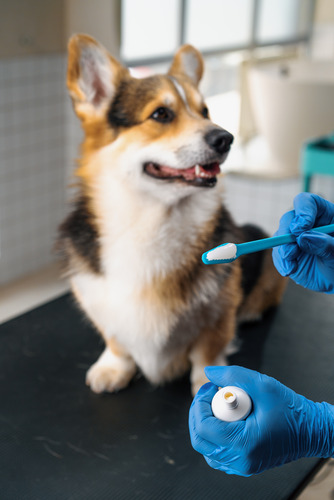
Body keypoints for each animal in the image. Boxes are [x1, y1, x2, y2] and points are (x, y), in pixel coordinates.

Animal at [57, 34, 284, 394]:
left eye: (205, 111)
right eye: (161, 114)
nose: (225, 138)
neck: (152, 220)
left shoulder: (218, 313)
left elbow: (208, 351)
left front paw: (211, 381)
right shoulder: (101, 304)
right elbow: (116, 341)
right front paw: (113, 369)